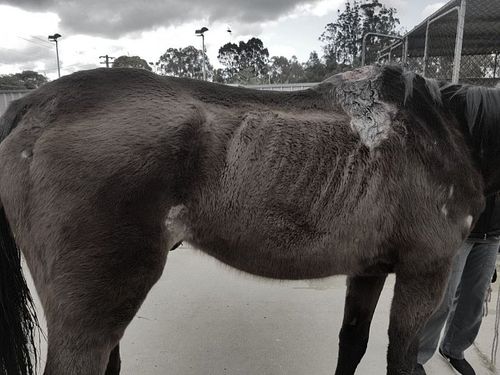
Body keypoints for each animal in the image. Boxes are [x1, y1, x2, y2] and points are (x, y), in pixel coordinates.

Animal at [0, 64, 500, 374]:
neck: (445, 132)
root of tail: (34, 106)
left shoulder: (369, 269)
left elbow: (353, 343)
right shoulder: (426, 270)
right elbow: (400, 357)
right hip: (94, 309)